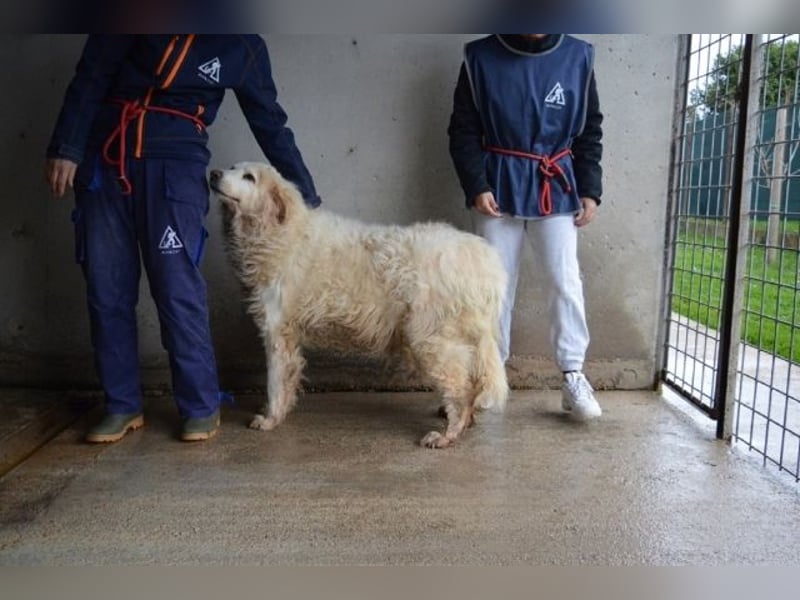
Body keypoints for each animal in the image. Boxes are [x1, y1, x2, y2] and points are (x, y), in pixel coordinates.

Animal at [210, 162, 509, 448]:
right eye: (232, 168)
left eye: (249, 177)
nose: (213, 173)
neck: (281, 231)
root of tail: (484, 258)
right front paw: (279, 414)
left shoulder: (276, 332)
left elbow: (275, 383)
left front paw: (270, 419)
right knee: (471, 383)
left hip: (431, 339)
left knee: (460, 388)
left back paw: (449, 433)